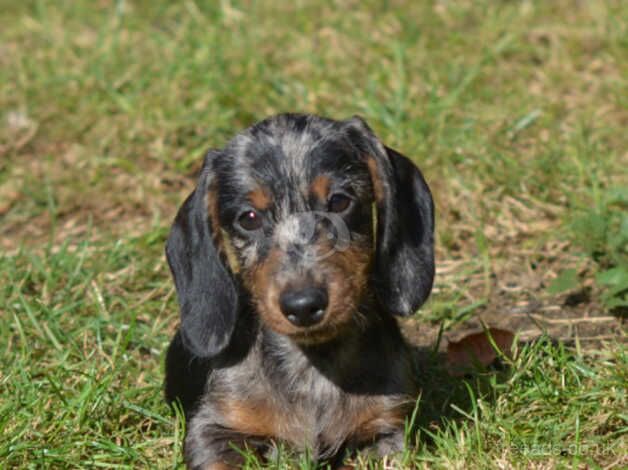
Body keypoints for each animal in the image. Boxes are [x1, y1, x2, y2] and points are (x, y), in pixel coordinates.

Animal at [164, 114, 434, 470]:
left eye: (339, 201)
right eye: (249, 218)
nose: (303, 305)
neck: (312, 367)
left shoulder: (388, 427)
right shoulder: (213, 429)